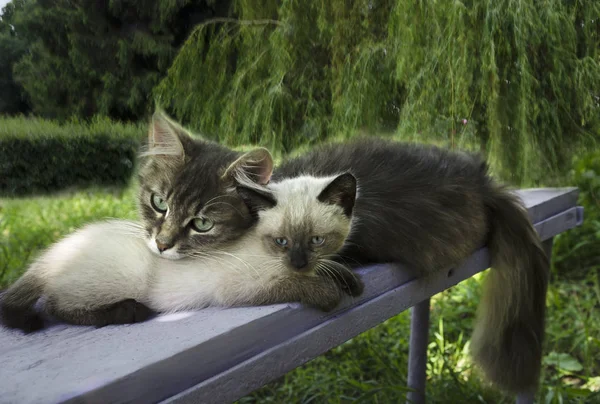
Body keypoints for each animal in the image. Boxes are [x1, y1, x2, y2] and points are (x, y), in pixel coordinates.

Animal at [0, 172, 364, 332]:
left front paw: (351, 280)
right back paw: (128, 311)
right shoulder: (239, 288)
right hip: (122, 279)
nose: (298, 262)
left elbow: (330, 268)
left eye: (317, 240)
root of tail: (55, 252)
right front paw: (328, 292)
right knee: (54, 304)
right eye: (282, 242)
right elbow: (296, 284)